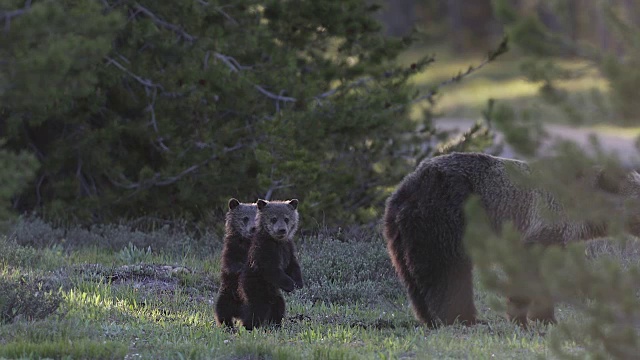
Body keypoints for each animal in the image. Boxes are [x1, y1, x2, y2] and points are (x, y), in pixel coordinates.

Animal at [214, 198, 256, 328]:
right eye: (245, 218)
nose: (253, 228)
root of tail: (238, 314)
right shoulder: (232, 249)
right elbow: (232, 265)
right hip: (226, 295)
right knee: (222, 309)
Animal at [239, 198, 304, 330]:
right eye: (273, 218)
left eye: (286, 218)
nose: (282, 230)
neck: (277, 242)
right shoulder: (264, 251)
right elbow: (271, 270)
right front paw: (290, 284)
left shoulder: (288, 248)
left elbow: (293, 265)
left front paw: (298, 283)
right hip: (255, 287)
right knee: (257, 309)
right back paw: (248, 326)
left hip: (275, 295)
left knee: (278, 306)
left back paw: (276, 324)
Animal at [382, 151, 636, 326]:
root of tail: (406, 189)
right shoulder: (541, 223)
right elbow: (529, 270)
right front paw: (525, 317)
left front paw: (544, 316)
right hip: (448, 217)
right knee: (448, 271)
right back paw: (465, 318)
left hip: (400, 234)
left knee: (414, 276)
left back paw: (429, 317)